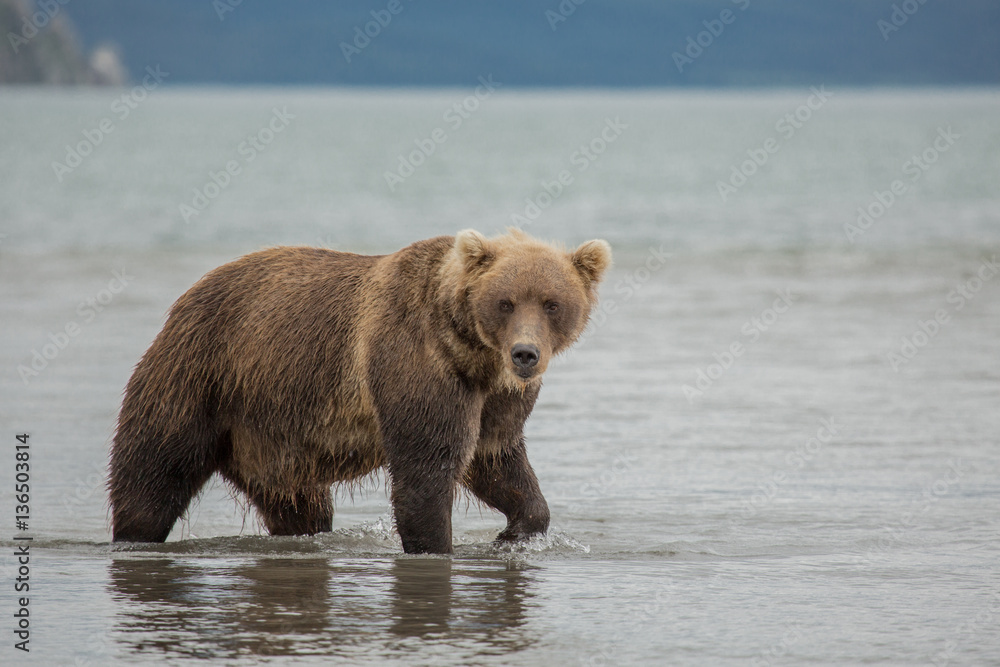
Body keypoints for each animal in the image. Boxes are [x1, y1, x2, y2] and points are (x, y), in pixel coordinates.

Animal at [108, 228, 611, 554]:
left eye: (552, 303)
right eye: (505, 302)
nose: (526, 354)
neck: (470, 352)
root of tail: (189, 293)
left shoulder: (495, 398)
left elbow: (495, 458)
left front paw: (515, 533)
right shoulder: (417, 364)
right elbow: (427, 471)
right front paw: (435, 545)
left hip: (273, 436)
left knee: (301, 506)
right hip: (201, 375)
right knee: (153, 472)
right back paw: (134, 533)